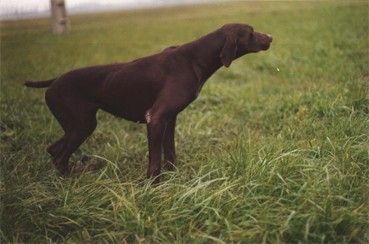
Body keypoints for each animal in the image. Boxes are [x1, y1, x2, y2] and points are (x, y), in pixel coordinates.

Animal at [25, 23, 270, 182]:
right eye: (250, 33)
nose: (271, 37)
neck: (195, 59)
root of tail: (54, 81)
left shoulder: (170, 119)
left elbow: (170, 153)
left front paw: (173, 178)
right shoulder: (156, 118)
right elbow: (155, 161)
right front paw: (153, 186)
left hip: (77, 126)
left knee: (54, 150)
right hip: (82, 125)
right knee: (60, 156)